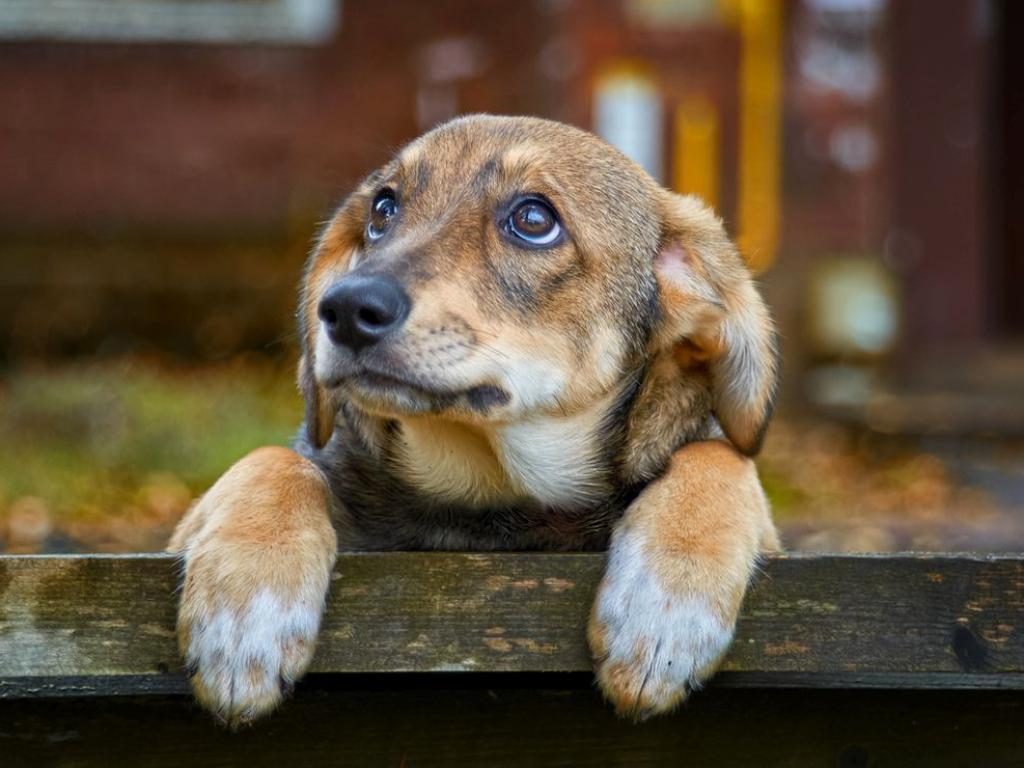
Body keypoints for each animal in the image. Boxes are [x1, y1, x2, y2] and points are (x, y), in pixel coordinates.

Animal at [167, 114, 778, 729]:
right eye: (383, 209)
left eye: (534, 219)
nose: (343, 309)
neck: (488, 494)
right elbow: (275, 459)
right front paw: (244, 612)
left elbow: (720, 455)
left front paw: (667, 609)